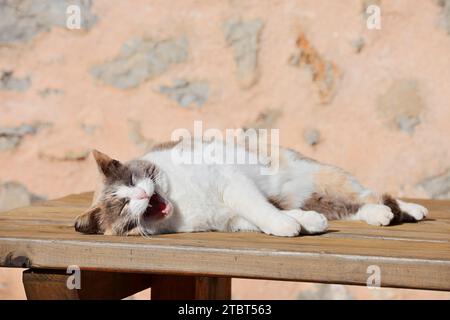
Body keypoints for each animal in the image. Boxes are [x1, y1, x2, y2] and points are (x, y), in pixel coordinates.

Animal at [74, 139, 428, 236]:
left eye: (133, 181)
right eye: (122, 204)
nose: (143, 194)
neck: (181, 205)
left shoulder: (234, 185)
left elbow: (260, 208)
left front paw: (287, 226)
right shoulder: (230, 220)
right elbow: (263, 215)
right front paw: (306, 223)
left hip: (326, 175)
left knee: (372, 194)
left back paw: (413, 210)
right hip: (323, 197)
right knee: (353, 207)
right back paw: (378, 215)